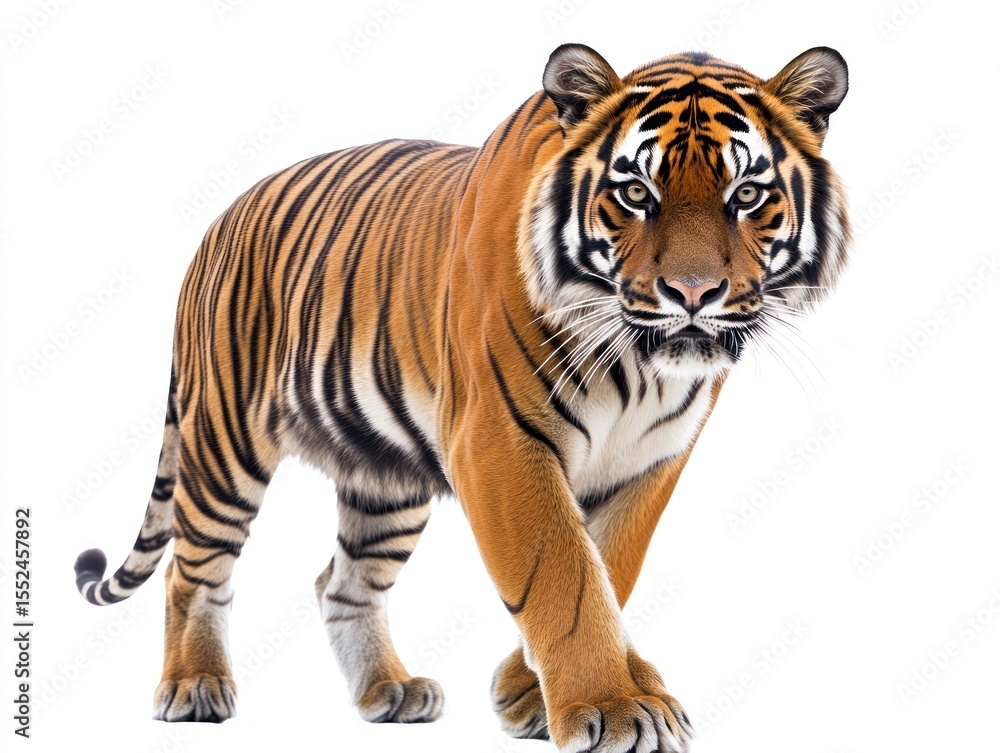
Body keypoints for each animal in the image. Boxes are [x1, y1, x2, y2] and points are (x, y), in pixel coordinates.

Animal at [74, 43, 849, 753]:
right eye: (636, 194)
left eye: (746, 195)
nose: (693, 294)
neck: (640, 363)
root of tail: (219, 221)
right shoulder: (500, 440)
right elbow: (564, 576)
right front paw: (613, 708)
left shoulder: (652, 459)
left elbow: (611, 567)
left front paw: (529, 692)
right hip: (225, 441)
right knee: (192, 567)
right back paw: (194, 686)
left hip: (384, 478)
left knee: (341, 581)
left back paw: (389, 691)